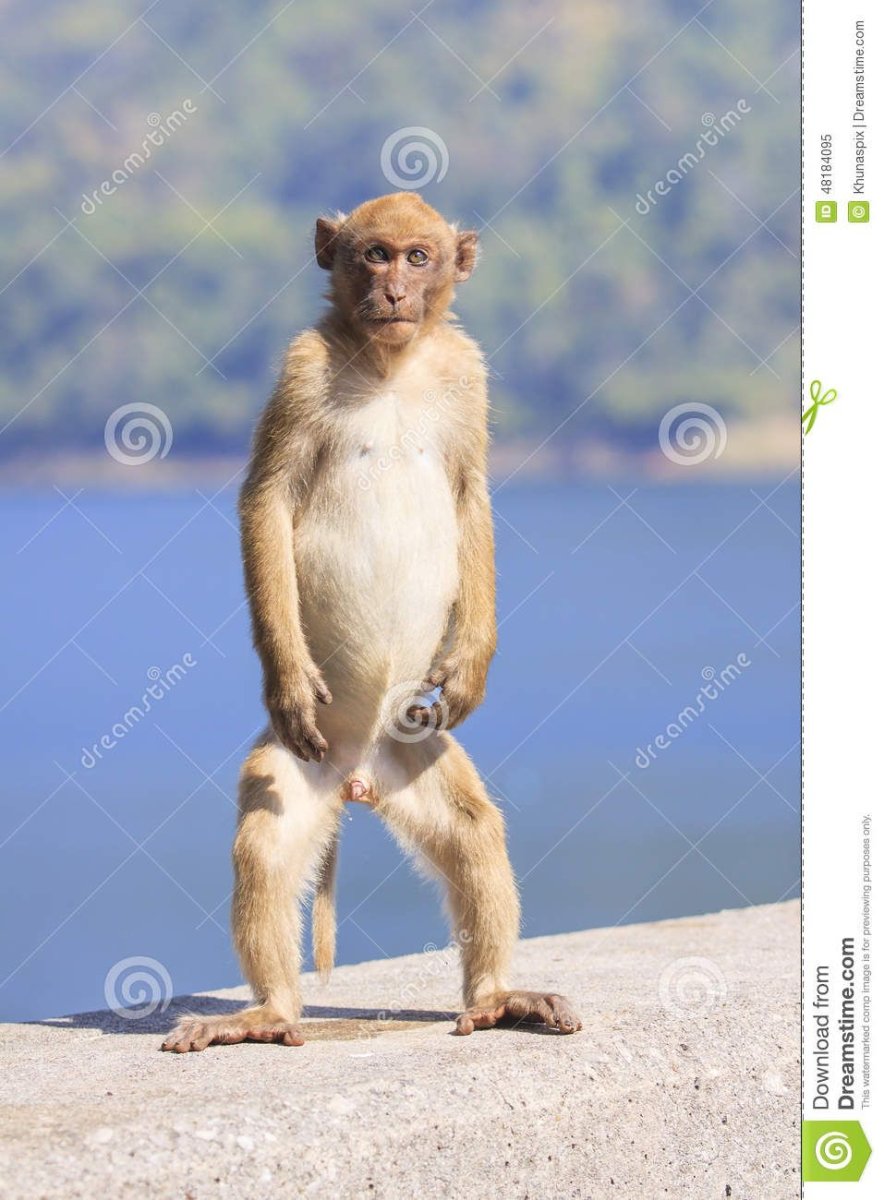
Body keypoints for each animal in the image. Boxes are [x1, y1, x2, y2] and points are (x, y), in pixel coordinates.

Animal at [161, 192, 582, 1052]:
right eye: (374, 254)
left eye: (417, 257)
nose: (392, 290)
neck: (391, 364)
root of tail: (358, 775)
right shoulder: (301, 367)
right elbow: (268, 498)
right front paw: (288, 678)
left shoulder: (466, 372)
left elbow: (471, 496)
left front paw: (472, 666)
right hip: (303, 762)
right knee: (265, 839)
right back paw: (269, 1011)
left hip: (412, 751)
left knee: (472, 830)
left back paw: (498, 995)